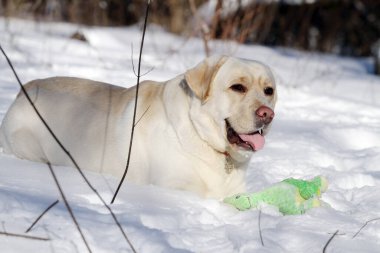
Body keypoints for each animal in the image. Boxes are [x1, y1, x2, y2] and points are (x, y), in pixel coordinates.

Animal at [0, 54, 276, 198]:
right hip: (30, 147)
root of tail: (26, 88)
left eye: (269, 91)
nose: (267, 113)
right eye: (237, 87)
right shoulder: (174, 185)